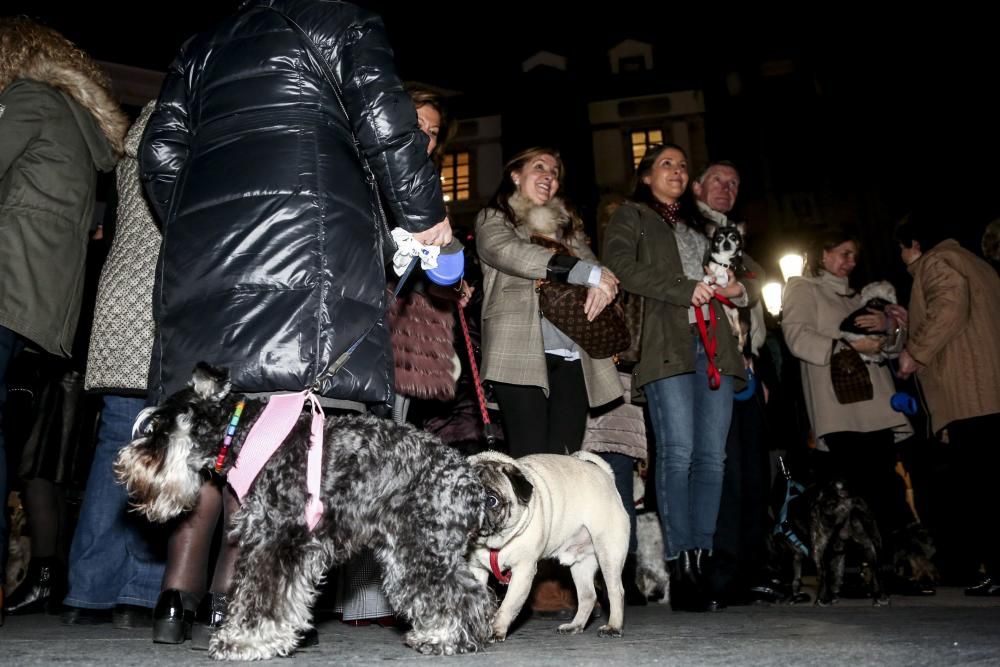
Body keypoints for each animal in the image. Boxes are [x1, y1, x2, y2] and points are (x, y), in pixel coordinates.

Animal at [115, 366, 494, 664]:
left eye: (160, 428)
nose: (126, 464)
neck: (246, 435)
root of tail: (469, 478)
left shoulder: (275, 539)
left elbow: (260, 595)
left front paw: (244, 640)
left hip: (422, 548)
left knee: (466, 595)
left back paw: (449, 638)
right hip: (405, 554)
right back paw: (436, 635)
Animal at [466, 448, 624, 640]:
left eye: (491, 500)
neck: (491, 545)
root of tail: (604, 475)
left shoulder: (523, 571)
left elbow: (508, 606)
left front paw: (496, 630)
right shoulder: (476, 570)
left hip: (608, 553)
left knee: (615, 591)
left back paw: (613, 627)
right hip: (581, 564)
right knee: (588, 596)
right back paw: (575, 626)